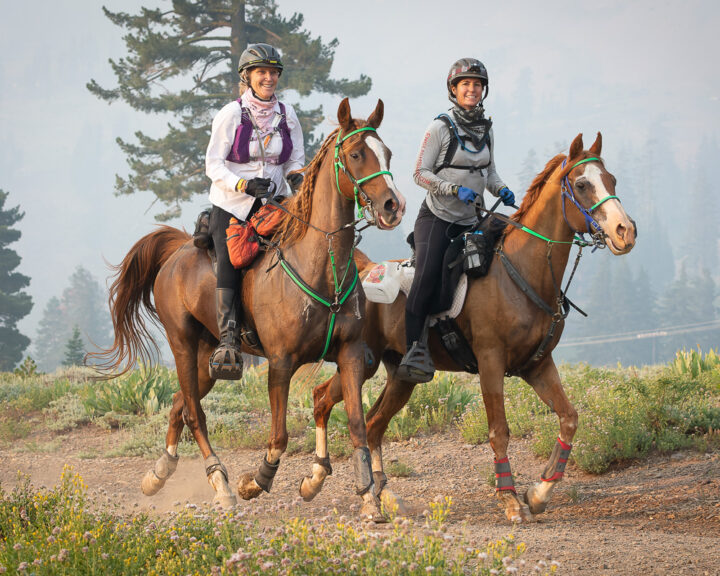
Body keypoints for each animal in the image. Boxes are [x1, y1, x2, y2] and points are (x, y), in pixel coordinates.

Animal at [97, 100, 404, 520]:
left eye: (386, 152)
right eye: (356, 154)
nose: (393, 206)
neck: (320, 264)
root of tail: (177, 249)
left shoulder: (351, 355)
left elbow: (357, 425)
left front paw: (368, 497)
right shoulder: (281, 362)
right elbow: (279, 436)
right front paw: (254, 482)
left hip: (207, 358)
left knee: (178, 403)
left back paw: (158, 474)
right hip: (182, 344)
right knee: (194, 413)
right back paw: (221, 483)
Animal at [304, 134, 636, 520]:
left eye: (612, 180)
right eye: (582, 184)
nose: (625, 232)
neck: (521, 271)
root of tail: (365, 270)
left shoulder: (538, 365)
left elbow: (569, 418)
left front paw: (539, 492)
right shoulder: (491, 362)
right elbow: (499, 431)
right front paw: (510, 499)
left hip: (401, 376)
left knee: (372, 424)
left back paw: (382, 495)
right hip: (362, 362)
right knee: (323, 398)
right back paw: (317, 482)